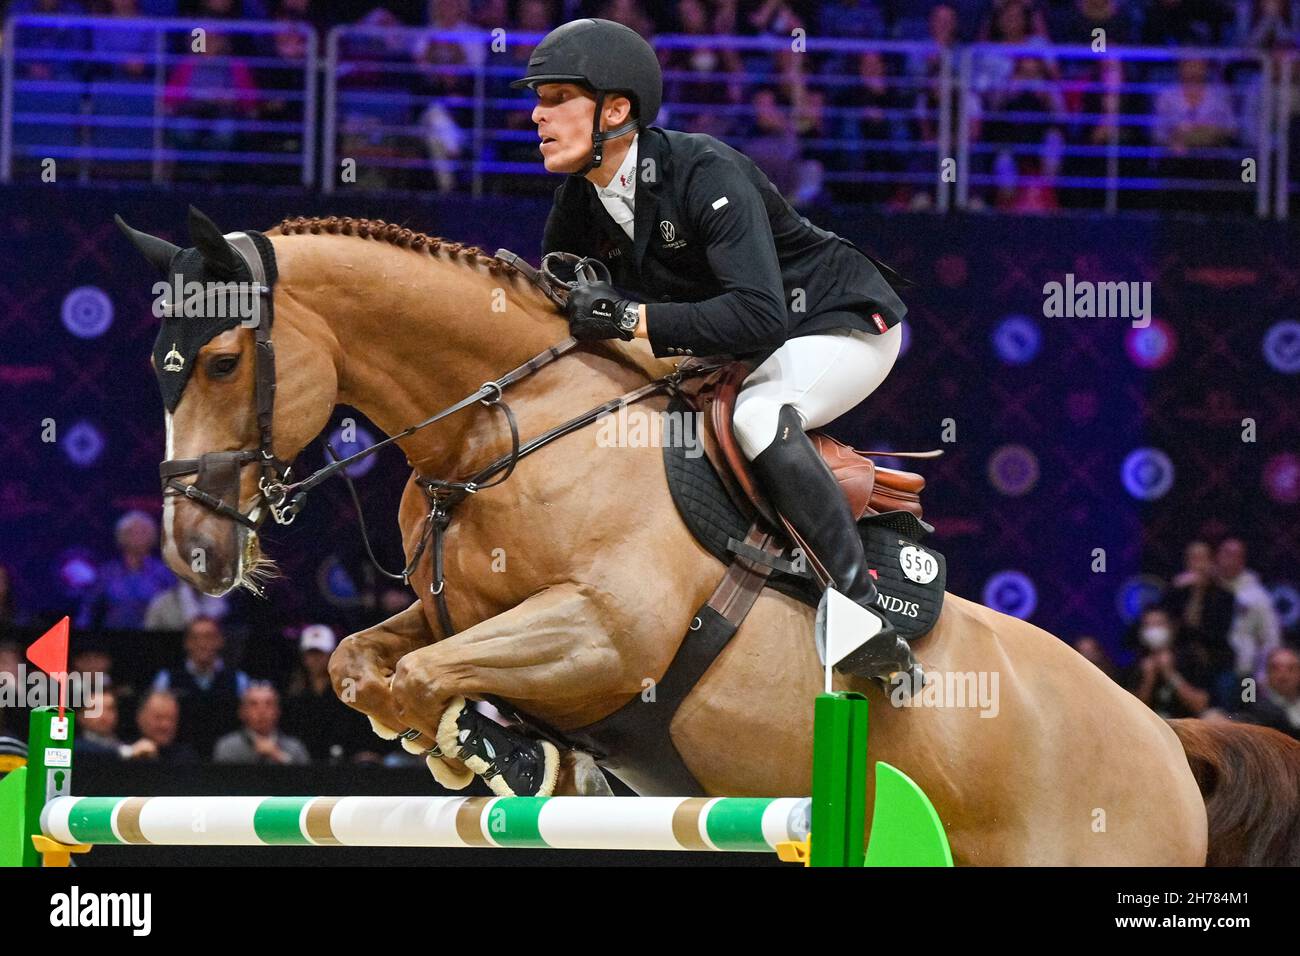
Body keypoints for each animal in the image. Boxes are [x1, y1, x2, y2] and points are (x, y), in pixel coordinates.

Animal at [126, 214, 1300, 868]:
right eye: (160, 365)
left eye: (222, 360)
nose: (193, 550)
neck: (498, 429)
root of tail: (1166, 737)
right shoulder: (459, 609)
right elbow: (366, 664)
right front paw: (496, 746)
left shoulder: (605, 634)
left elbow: (421, 674)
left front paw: (499, 745)